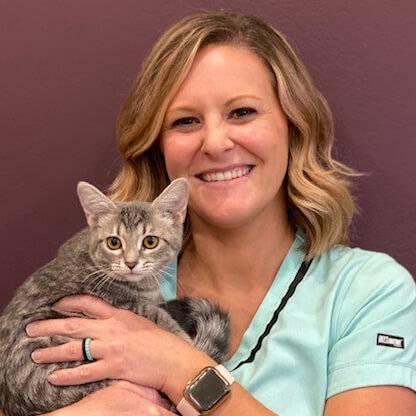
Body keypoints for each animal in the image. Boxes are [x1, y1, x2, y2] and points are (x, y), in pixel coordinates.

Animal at [0, 179, 229, 416]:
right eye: (114, 243)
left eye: (150, 242)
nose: (130, 263)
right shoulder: (119, 302)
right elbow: (155, 313)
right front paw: (184, 340)